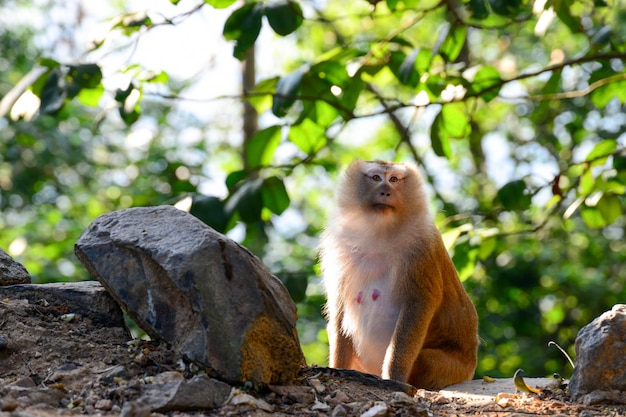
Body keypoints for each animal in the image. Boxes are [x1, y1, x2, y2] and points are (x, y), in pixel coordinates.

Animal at [320, 159, 476, 390]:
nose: (385, 191)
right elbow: (339, 311)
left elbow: (419, 303)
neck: (379, 232)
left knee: (427, 360)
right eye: (376, 178)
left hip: (456, 370)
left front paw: (394, 377)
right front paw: (336, 368)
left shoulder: (421, 246)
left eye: (394, 179)